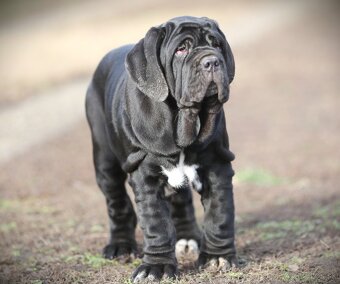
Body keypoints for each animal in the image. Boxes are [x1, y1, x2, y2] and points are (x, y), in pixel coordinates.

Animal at [85, 16, 236, 282]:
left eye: (216, 44)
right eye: (181, 50)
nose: (211, 61)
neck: (182, 120)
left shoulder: (217, 165)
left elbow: (220, 214)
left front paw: (218, 257)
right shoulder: (145, 176)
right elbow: (156, 223)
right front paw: (156, 267)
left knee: (181, 200)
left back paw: (188, 238)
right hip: (104, 161)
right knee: (117, 203)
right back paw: (121, 246)